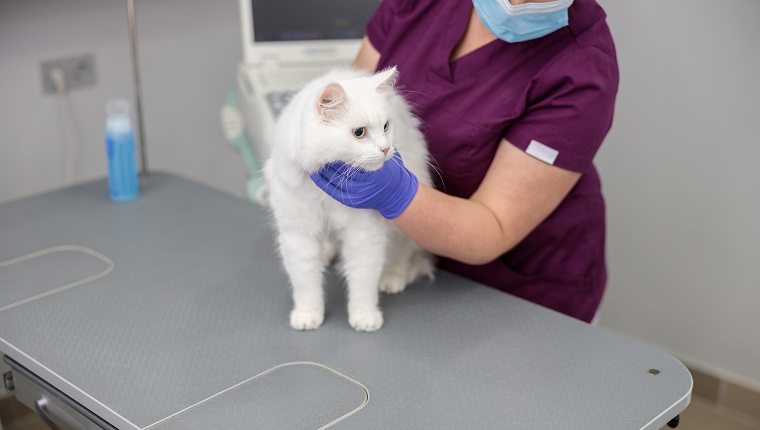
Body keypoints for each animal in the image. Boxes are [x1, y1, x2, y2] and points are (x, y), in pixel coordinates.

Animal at [264, 67, 434, 330]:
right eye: (359, 133)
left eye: (386, 126)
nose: (386, 149)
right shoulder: (298, 234)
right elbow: (305, 281)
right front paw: (308, 315)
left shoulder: (363, 234)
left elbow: (363, 280)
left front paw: (364, 316)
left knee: (401, 255)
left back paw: (392, 279)